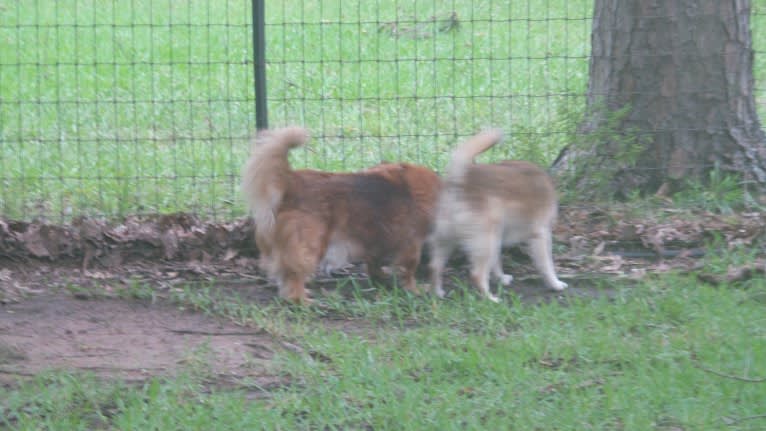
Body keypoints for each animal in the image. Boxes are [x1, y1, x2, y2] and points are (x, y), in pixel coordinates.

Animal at [243, 126, 440, 306]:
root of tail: (293, 181)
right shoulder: (412, 243)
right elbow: (409, 269)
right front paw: (414, 289)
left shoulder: (377, 238)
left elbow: (374, 261)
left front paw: (380, 277)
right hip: (310, 247)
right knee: (294, 275)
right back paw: (300, 299)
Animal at [432, 130, 568, 302]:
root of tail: (462, 179)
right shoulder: (541, 234)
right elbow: (546, 264)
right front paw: (555, 283)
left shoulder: (501, 235)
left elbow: (496, 262)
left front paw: (501, 278)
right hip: (486, 240)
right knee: (477, 274)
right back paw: (491, 299)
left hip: (454, 238)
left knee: (435, 266)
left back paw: (437, 293)